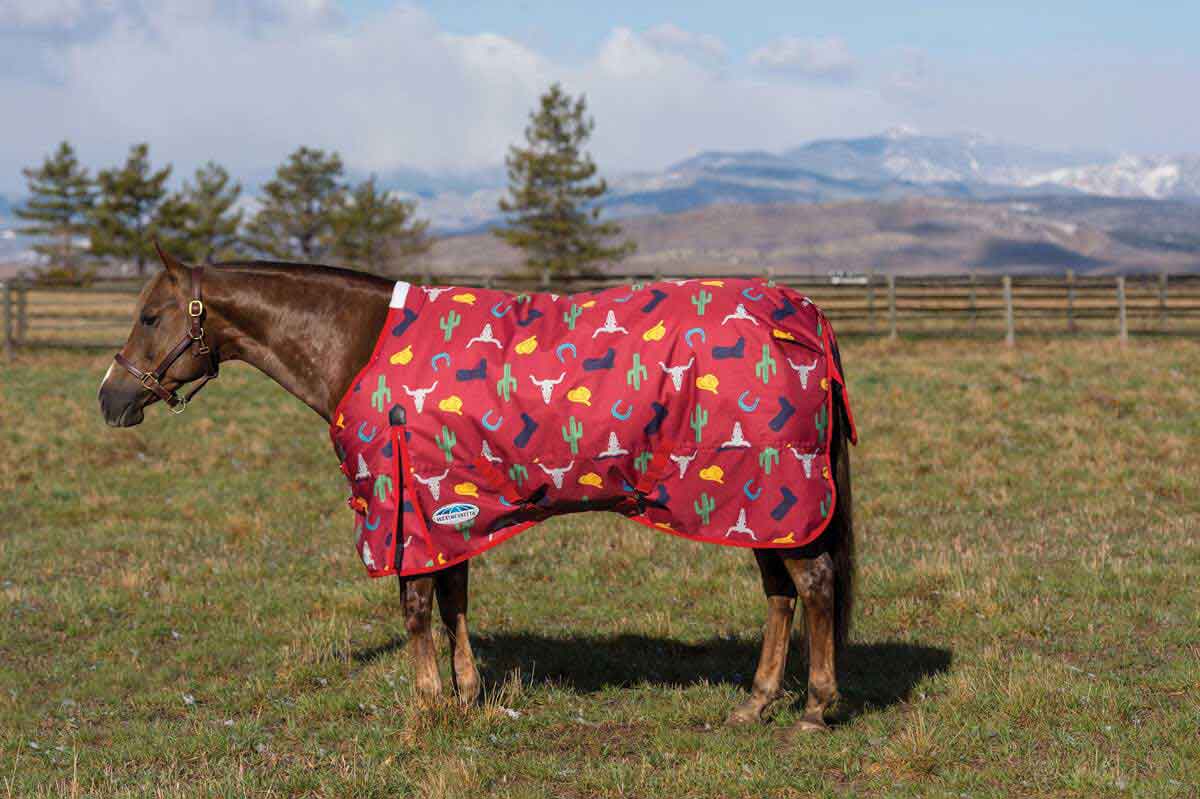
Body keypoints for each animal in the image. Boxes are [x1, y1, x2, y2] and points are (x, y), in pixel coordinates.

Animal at [97, 246, 855, 734]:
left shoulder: (405, 507)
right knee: (781, 593)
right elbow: (453, 600)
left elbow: (415, 607)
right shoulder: (447, 506)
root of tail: (799, 313)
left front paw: (427, 706)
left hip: (773, 492)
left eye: (150, 316)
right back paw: (754, 703)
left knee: (813, 584)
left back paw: (815, 708)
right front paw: (463, 696)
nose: (110, 399)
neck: (359, 345)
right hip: (757, 508)